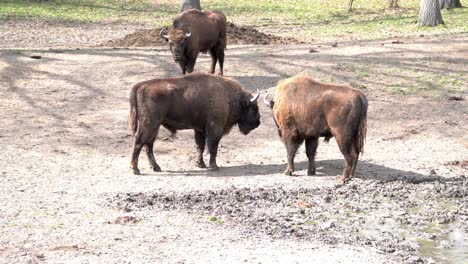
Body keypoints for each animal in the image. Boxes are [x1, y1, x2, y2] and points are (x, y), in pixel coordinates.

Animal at [129, 73, 260, 174]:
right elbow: (212, 147)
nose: (258, 122)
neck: (229, 96)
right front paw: (214, 166)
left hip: (154, 126)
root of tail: (141, 85)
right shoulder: (215, 129)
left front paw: (200, 164)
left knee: (148, 144)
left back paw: (156, 167)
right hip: (150, 124)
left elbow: (200, 146)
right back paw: (136, 169)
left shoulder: (200, 130)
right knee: (139, 142)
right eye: (254, 107)